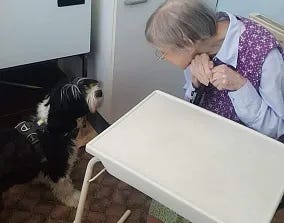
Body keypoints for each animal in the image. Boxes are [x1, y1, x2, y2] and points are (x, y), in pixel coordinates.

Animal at [0, 77, 102, 208]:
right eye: (78, 98)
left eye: (85, 85)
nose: (99, 92)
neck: (50, 128)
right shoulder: (58, 166)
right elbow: (64, 185)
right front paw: (74, 198)